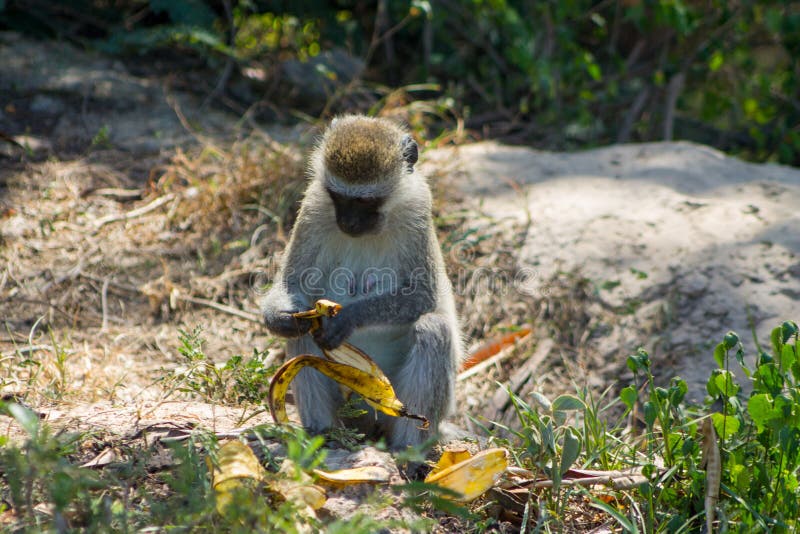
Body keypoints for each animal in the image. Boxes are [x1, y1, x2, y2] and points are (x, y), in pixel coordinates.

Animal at [264, 115, 462, 450]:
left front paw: (349, 319)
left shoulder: (418, 208)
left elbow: (423, 295)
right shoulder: (314, 205)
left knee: (434, 328)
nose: (349, 223)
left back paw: (408, 450)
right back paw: (323, 435)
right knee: (303, 336)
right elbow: (292, 284)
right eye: (338, 196)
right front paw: (278, 319)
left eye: (367, 201)